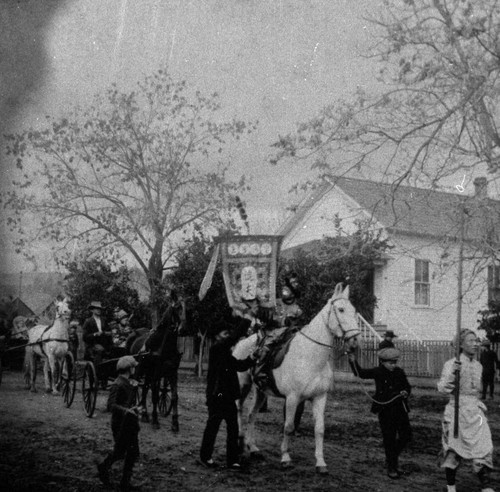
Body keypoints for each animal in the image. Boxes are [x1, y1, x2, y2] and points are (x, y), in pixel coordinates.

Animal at [130, 296, 185, 430]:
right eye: (177, 308)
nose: (183, 329)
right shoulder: (156, 373)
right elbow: (154, 395)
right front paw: (155, 420)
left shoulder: (172, 373)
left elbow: (174, 397)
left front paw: (175, 423)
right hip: (139, 370)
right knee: (135, 386)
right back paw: (135, 410)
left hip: (148, 373)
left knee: (144, 388)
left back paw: (144, 414)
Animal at [232, 282, 362, 474]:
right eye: (341, 309)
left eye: (354, 311)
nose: (355, 341)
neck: (310, 356)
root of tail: (241, 343)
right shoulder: (292, 398)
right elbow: (288, 426)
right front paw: (285, 458)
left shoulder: (319, 397)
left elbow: (319, 429)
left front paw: (320, 462)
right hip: (243, 385)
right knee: (238, 408)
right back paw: (239, 440)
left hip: (261, 391)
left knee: (251, 414)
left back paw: (253, 448)